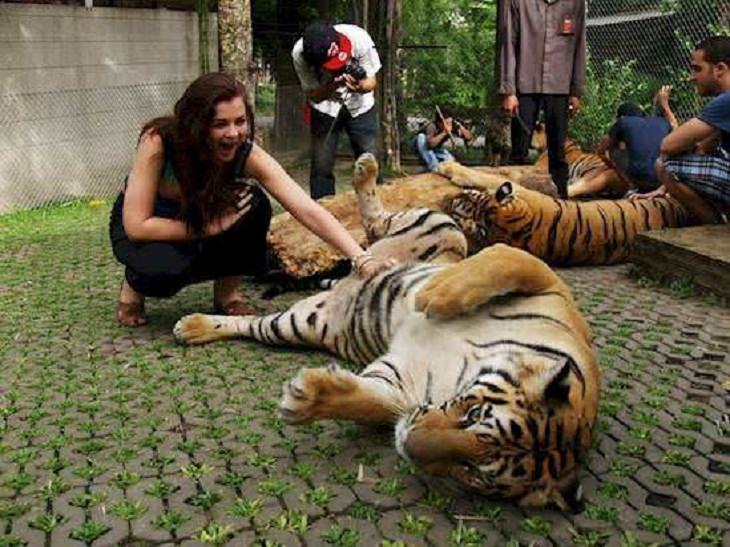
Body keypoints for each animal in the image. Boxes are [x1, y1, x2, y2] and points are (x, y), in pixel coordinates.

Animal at [173, 152, 600, 508]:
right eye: (474, 414)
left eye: (474, 473)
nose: (408, 446)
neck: (462, 373)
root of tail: (344, 282)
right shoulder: (551, 287)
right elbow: (506, 262)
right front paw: (433, 295)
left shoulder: (403, 386)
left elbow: (370, 402)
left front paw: (308, 399)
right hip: (443, 228)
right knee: (378, 221)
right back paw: (367, 170)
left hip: (297, 323)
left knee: (253, 323)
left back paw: (194, 328)